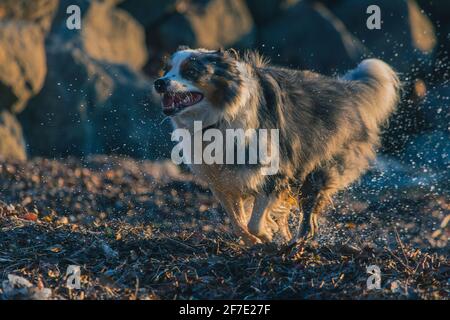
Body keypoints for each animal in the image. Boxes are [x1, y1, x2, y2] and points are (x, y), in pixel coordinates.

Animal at [154, 46, 398, 245]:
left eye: (191, 71)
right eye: (166, 70)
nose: (159, 82)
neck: (220, 117)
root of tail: (347, 89)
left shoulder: (275, 171)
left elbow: (254, 222)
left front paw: (266, 236)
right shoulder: (221, 179)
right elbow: (237, 221)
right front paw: (253, 241)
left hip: (321, 166)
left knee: (310, 209)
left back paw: (299, 241)